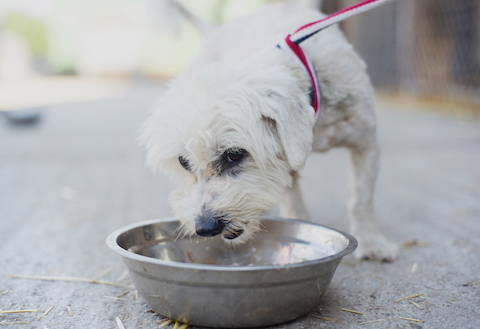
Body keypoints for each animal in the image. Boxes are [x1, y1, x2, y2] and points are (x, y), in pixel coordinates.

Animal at [141, 1, 396, 260]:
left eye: (234, 154)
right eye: (183, 161)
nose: (205, 227)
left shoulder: (366, 142)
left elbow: (361, 200)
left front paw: (371, 243)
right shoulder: (286, 162)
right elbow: (293, 202)